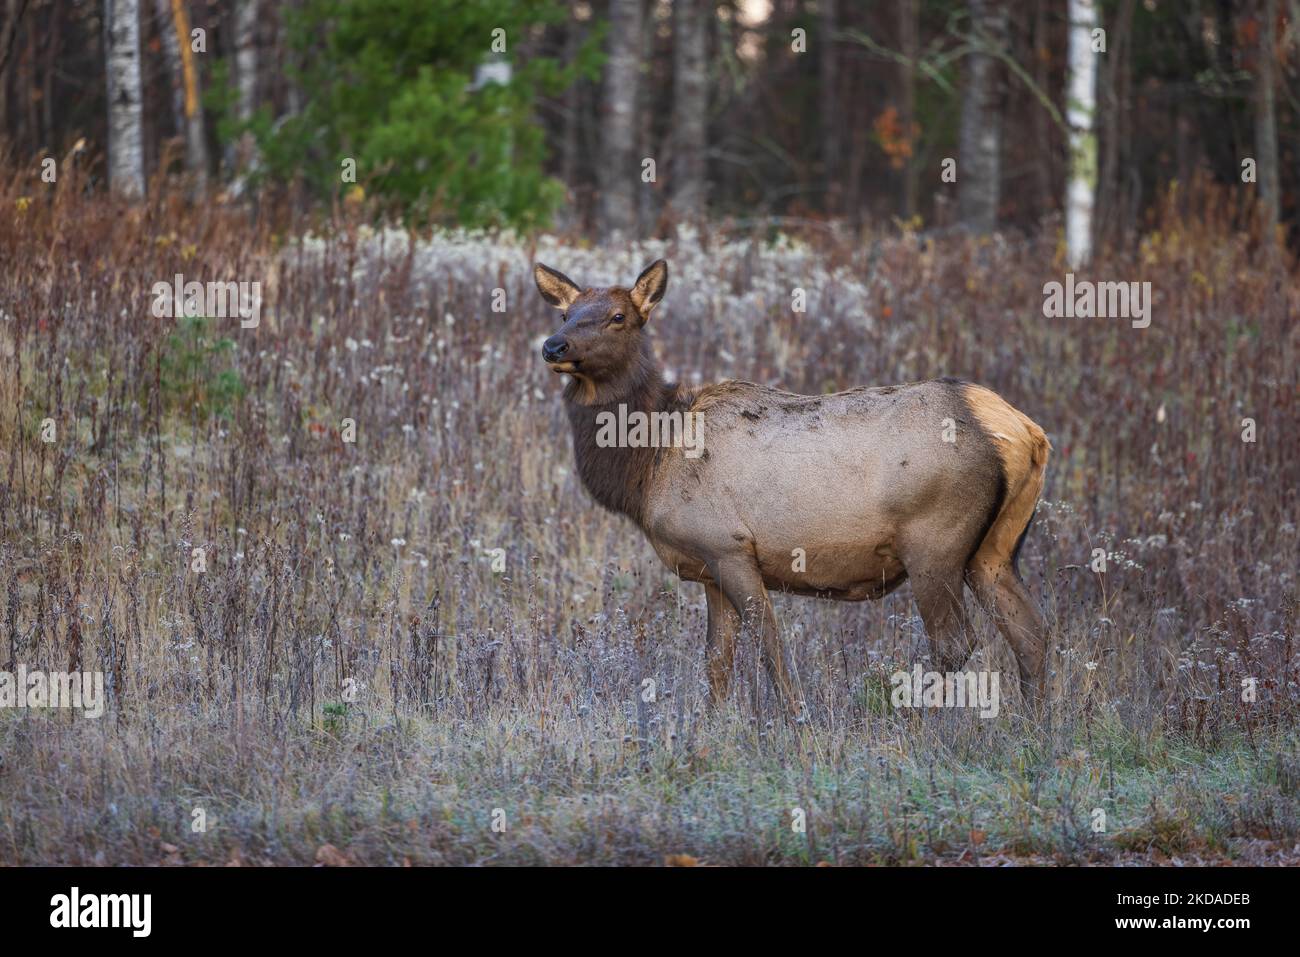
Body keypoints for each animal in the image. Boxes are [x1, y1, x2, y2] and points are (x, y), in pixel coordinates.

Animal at [533, 259, 1051, 717]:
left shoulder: (729, 547)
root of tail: (1022, 430)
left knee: (954, 643)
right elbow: (717, 663)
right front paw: (711, 727)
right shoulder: (708, 566)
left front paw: (796, 721)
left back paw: (919, 725)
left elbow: (769, 647)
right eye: (565, 313)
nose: (553, 346)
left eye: (619, 317)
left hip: (935, 543)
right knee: (1033, 633)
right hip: (994, 549)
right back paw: (1035, 725)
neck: (649, 465)